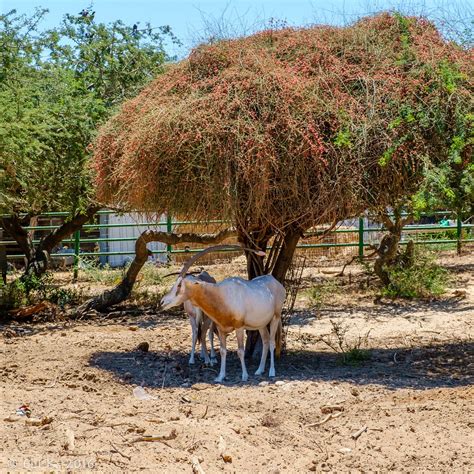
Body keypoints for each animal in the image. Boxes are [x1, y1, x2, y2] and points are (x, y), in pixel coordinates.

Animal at [160, 246, 286, 384]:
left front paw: (244, 376)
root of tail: (276, 282)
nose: (162, 302)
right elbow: (222, 351)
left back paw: (271, 372)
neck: (221, 295)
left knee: (272, 342)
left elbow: (240, 351)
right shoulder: (221, 328)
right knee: (265, 341)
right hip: (260, 324)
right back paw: (259, 370)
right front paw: (220, 376)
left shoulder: (239, 327)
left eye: (179, 285)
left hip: (275, 317)